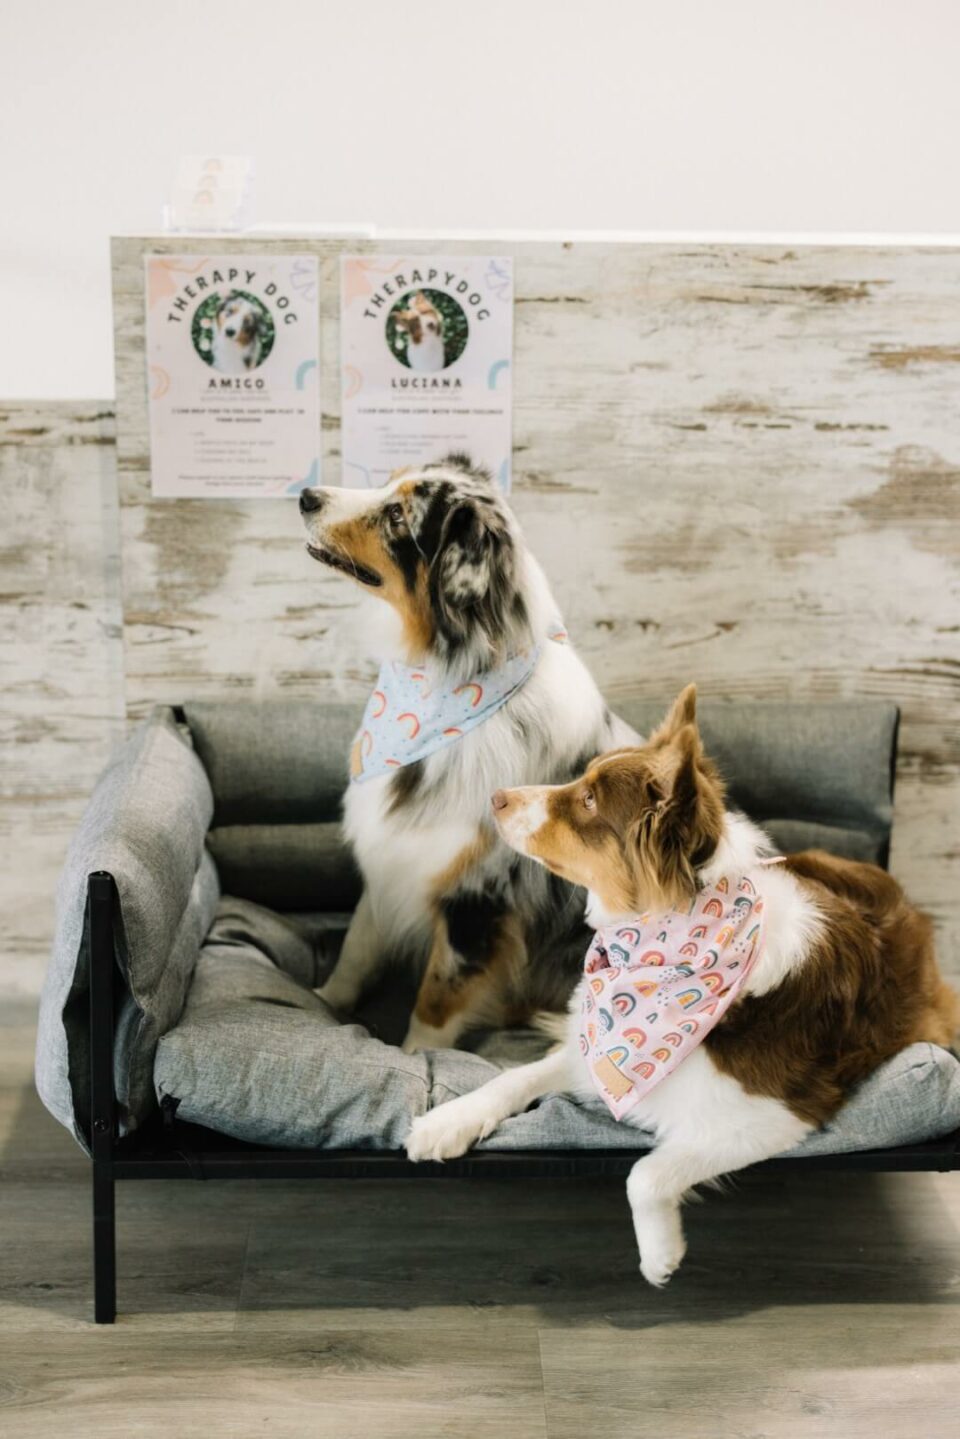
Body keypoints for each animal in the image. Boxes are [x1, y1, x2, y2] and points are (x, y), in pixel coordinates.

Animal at [296, 454, 633, 1053]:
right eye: (388, 484)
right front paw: (324, 1002)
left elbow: (436, 1000)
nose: (306, 497)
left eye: (399, 516)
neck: (447, 676)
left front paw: (415, 1059)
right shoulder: (391, 855)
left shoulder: (479, 900)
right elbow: (359, 943)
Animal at [408, 682, 960, 1283]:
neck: (670, 943)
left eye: (589, 801)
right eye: (582, 781)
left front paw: (659, 1256)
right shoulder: (594, 1049)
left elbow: (644, 1174)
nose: (496, 798)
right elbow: (511, 1078)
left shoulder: (779, 1113)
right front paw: (444, 1122)